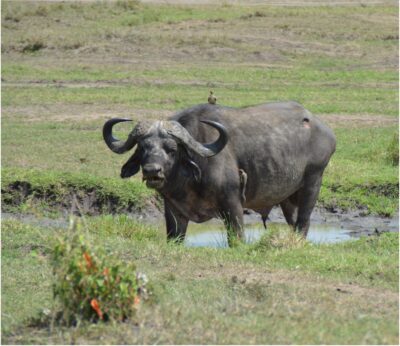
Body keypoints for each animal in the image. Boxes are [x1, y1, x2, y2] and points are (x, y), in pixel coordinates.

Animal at [102, 101, 334, 245]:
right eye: (142, 148)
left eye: (172, 149)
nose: (152, 171)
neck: (190, 180)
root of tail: (324, 130)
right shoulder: (173, 211)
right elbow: (174, 237)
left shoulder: (233, 205)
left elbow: (237, 238)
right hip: (288, 197)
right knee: (293, 222)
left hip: (313, 181)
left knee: (304, 221)